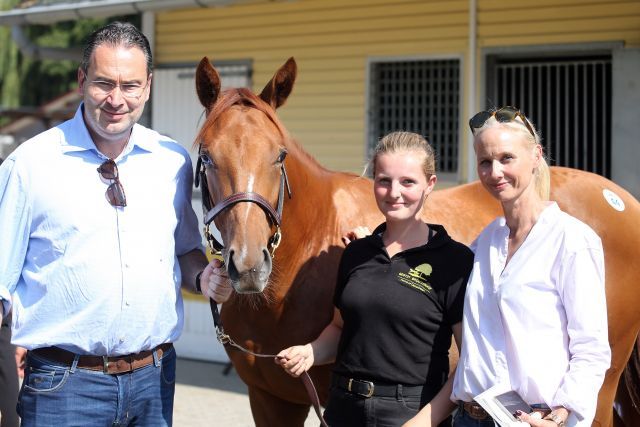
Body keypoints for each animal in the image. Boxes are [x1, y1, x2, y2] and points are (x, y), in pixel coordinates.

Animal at [192, 56, 640, 427]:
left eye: (280, 155)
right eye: (207, 156)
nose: (249, 266)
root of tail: (621, 201)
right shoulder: (271, 400)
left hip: (600, 393)